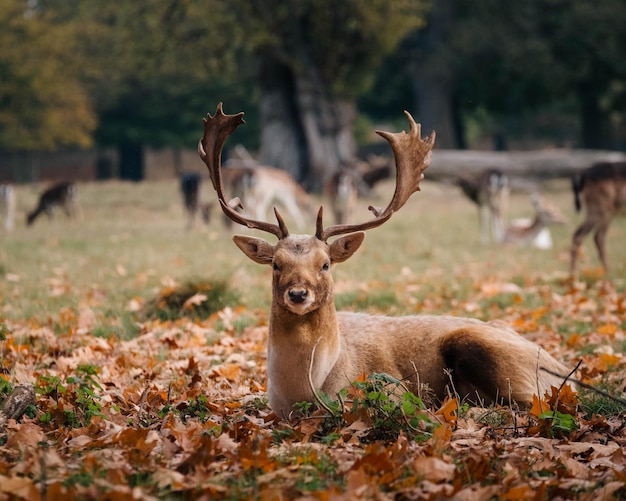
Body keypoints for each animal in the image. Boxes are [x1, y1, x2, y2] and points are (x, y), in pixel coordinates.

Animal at [197, 103, 572, 420]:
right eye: (276, 263)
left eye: (325, 264)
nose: (299, 294)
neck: (304, 391)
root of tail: (560, 371)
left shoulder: (390, 388)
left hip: (490, 354)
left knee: (528, 404)